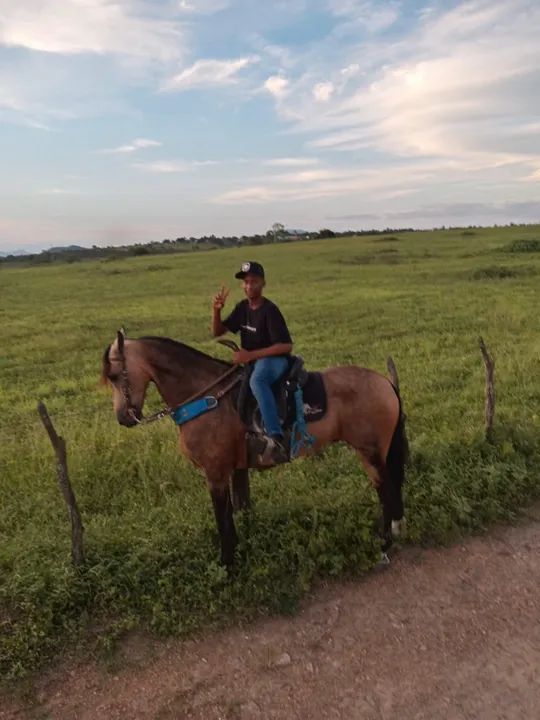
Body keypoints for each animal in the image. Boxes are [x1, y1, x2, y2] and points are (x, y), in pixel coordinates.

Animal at [101, 330, 407, 567]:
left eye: (115, 375)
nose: (124, 418)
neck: (208, 397)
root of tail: (385, 383)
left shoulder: (215, 474)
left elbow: (223, 519)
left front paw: (227, 564)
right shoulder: (235, 470)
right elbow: (236, 511)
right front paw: (239, 551)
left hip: (370, 453)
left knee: (387, 490)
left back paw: (384, 542)